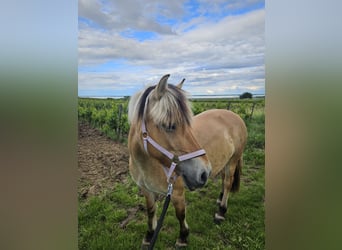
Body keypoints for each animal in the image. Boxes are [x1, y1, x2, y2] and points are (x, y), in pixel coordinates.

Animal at [127, 74, 247, 248]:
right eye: (170, 126)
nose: (204, 172)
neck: (147, 165)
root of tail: (235, 116)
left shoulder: (177, 193)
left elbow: (180, 214)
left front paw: (183, 237)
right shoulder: (146, 190)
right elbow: (150, 211)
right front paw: (149, 236)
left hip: (233, 160)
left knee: (228, 182)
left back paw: (221, 211)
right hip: (226, 161)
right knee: (225, 179)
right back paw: (220, 199)